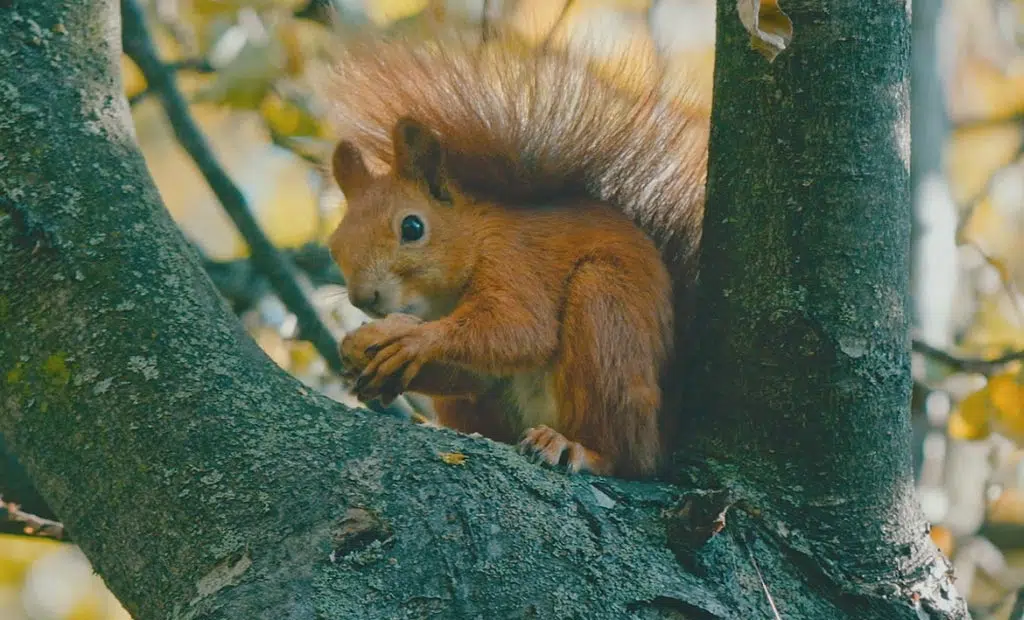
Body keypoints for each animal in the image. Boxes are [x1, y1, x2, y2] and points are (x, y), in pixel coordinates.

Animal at [323, 32, 708, 479]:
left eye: (412, 228)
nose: (363, 298)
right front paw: (360, 356)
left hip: (608, 317)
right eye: (334, 246)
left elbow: (521, 328)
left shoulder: (515, 259)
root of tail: (664, 436)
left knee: (624, 452)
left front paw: (414, 339)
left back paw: (578, 448)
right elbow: (475, 375)